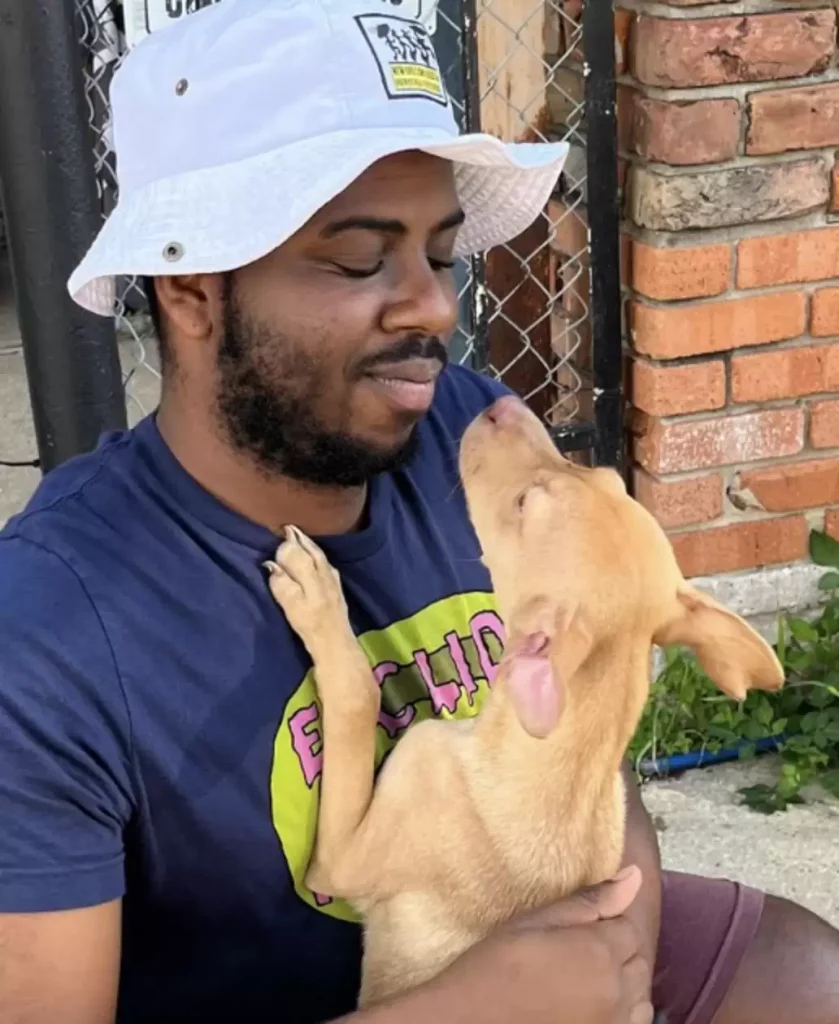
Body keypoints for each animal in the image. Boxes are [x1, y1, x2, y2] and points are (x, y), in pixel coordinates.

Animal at [266, 391, 782, 1007]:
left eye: (522, 504)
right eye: (605, 475)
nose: (501, 404)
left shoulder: (338, 858)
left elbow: (356, 692)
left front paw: (316, 595)